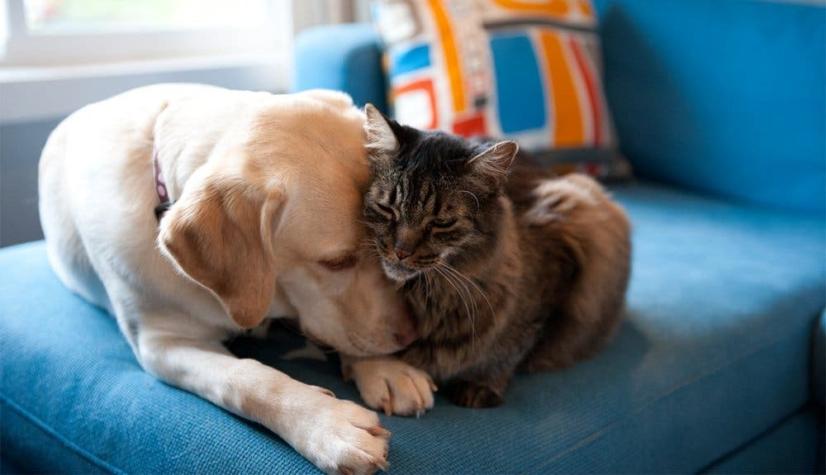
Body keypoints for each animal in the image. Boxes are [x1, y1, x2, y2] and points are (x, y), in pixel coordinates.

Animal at [38, 83, 416, 474]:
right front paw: (327, 425)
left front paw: (385, 369)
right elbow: (247, 379)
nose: (410, 336)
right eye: (336, 262)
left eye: (383, 246)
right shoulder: (160, 345)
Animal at [342, 105, 632, 412]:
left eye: (441, 222)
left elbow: (511, 346)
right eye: (387, 209)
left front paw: (482, 383)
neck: (428, 296)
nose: (401, 251)